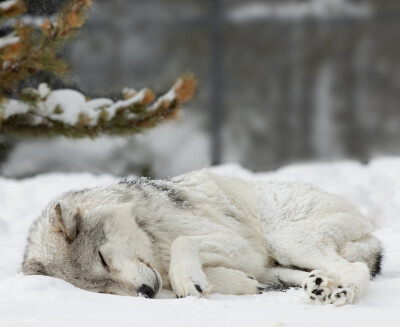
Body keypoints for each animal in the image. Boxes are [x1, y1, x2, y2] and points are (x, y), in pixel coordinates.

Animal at [21, 170, 382, 306]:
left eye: (102, 259)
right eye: (101, 289)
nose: (146, 292)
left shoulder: (240, 246)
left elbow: (183, 245)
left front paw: (187, 278)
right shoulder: (251, 261)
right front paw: (234, 283)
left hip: (287, 239)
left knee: (356, 270)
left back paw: (341, 293)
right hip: (283, 261)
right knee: (308, 274)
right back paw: (317, 286)